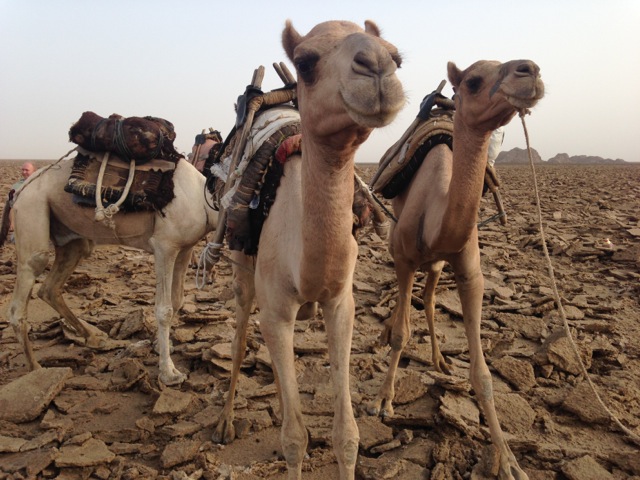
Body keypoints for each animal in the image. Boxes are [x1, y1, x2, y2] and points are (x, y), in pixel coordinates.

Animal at [1, 154, 219, 386]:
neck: (203, 200)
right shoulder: (164, 246)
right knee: (25, 287)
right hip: (32, 208)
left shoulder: (185, 247)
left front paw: (160, 346)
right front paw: (169, 372)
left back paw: (95, 338)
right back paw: (36, 369)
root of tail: (18, 191)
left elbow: (177, 301)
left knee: (50, 287)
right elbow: (164, 309)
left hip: (71, 238)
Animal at [368, 58, 544, 478]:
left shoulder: (469, 273)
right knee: (408, 303)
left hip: (435, 266)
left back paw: (439, 360)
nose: (529, 70)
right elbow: (402, 333)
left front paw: (508, 460)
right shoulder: (404, 259)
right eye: (474, 81)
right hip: (401, 244)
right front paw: (383, 400)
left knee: (431, 300)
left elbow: (482, 372)